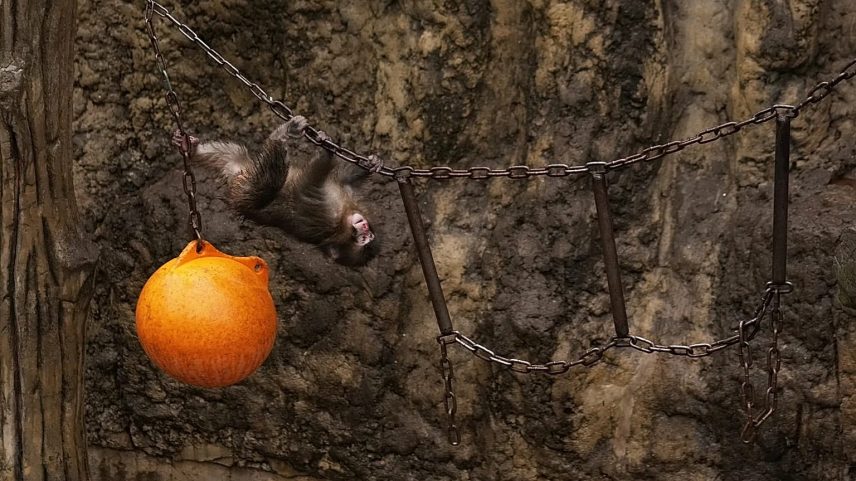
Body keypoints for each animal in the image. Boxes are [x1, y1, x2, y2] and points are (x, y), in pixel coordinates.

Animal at [172, 116, 380, 267]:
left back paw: (281, 135)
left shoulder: (329, 216)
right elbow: (345, 179)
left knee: (267, 184)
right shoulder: (344, 200)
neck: (345, 218)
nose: (365, 229)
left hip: (246, 190)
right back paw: (191, 148)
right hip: (244, 168)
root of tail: (236, 175)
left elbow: (308, 185)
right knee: (233, 153)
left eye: (365, 238)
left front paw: (326, 153)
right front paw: (372, 164)